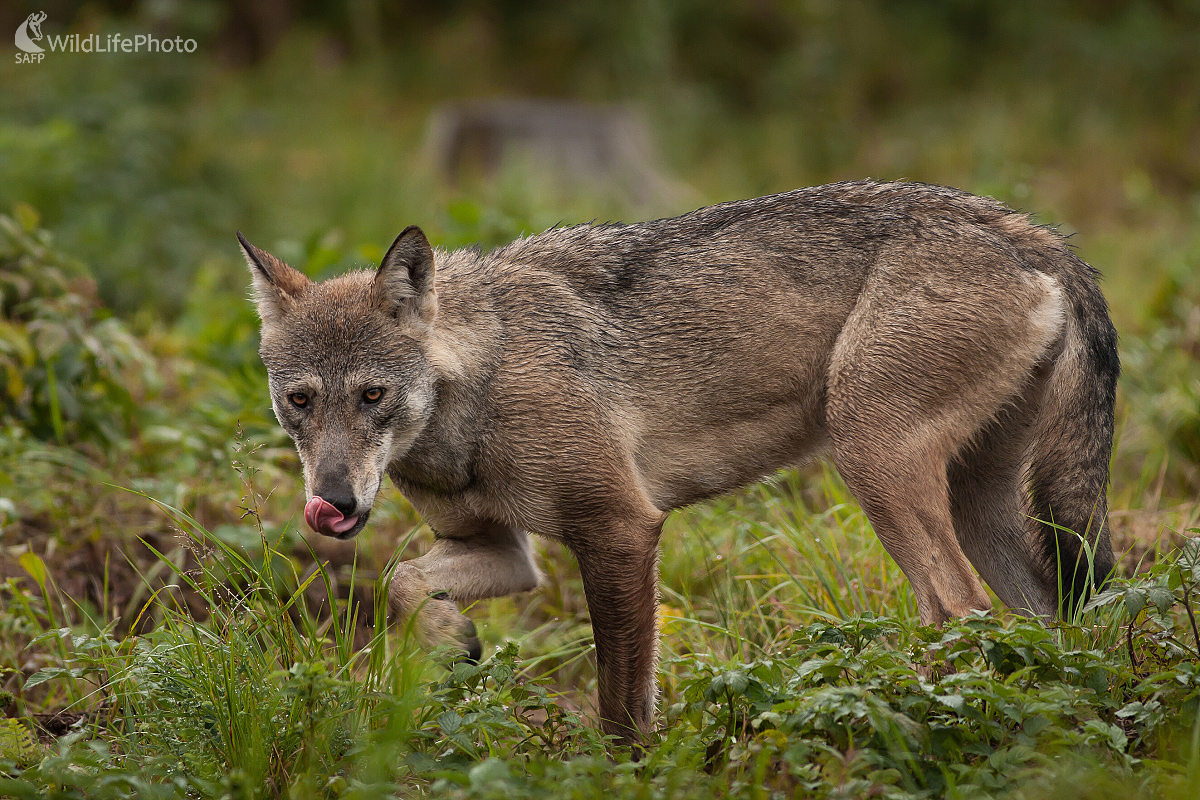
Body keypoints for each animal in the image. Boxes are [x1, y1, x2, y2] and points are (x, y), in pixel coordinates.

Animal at [238, 179, 1118, 743]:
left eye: (373, 396)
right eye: (301, 401)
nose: (334, 503)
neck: (482, 380)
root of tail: (1031, 233)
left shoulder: (621, 529)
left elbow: (621, 704)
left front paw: (622, 771)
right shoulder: (502, 552)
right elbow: (402, 581)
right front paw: (453, 642)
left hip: (872, 460)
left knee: (959, 611)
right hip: (980, 508)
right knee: (1041, 622)